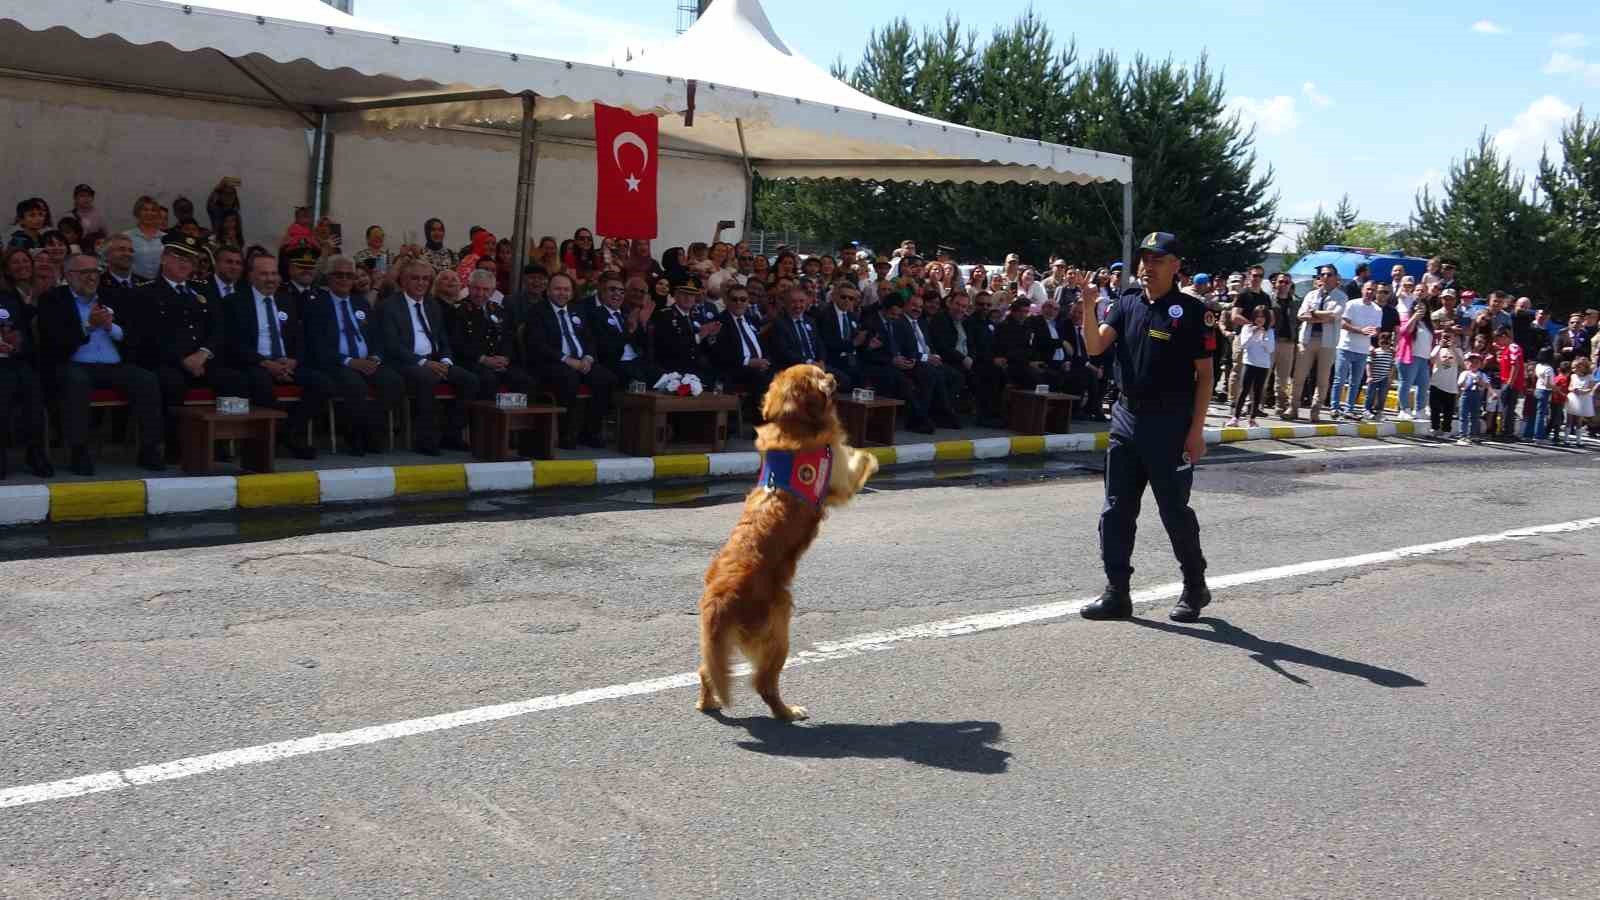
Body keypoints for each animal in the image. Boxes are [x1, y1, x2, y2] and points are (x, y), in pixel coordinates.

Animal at [697, 360, 883, 717]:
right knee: (764, 684)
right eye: (819, 374)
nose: (834, 376)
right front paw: (872, 457)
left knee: (705, 671)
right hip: (778, 631)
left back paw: (706, 702)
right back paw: (788, 712)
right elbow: (861, 458)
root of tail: (719, 598)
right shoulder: (839, 479)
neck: (792, 422)